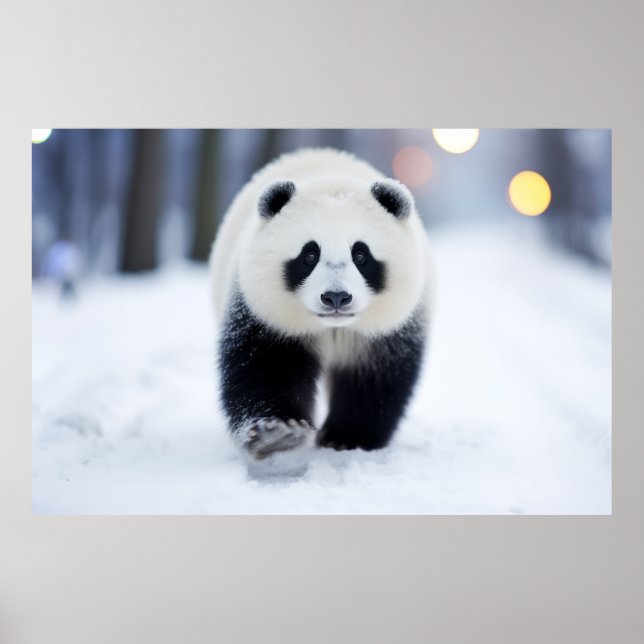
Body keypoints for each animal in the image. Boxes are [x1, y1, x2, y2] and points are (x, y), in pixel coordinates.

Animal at [209, 148, 434, 474]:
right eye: (309, 255)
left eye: (361, 255)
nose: (336, 297)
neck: (333, 327)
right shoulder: (266, 314)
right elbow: (266, 369)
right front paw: (277, 436)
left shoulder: (390, 329)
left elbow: (376, 380)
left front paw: (347, 437)